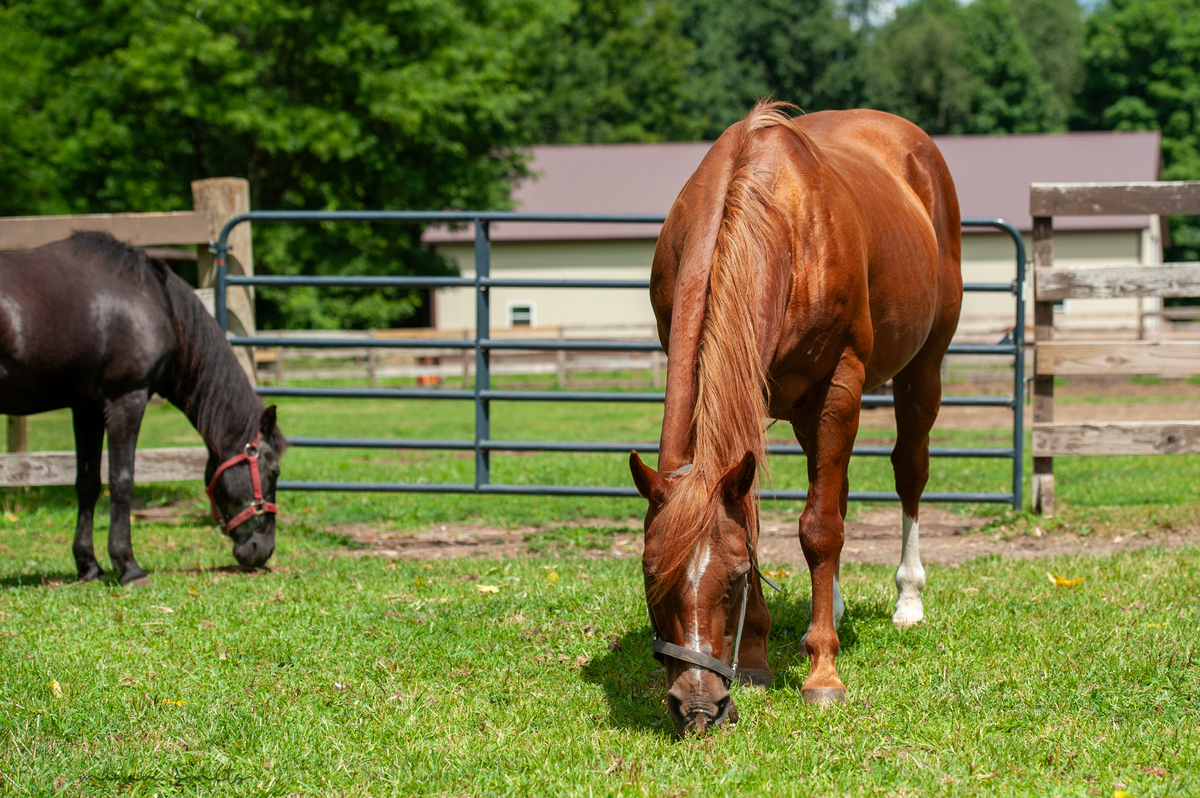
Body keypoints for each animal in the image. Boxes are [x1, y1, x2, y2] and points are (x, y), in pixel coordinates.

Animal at [0, 232, 286, 585]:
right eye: (274, 472)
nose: (264, 550)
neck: (157, 303)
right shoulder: (127, 399)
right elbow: (122, 481)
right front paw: (129, 566)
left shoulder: (86, 408)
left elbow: (88, 483)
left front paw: (89, 566)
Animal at [629, 101, 961, 733]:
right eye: (650, 574)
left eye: (734, 579)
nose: (698, 706)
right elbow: (767, 521)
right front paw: (758, 660)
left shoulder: (839, 387)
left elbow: (819, 529)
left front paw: (822, 672)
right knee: (839, 488)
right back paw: (834, 602)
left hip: (921, 370)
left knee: (908, 472)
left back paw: (907, 599)